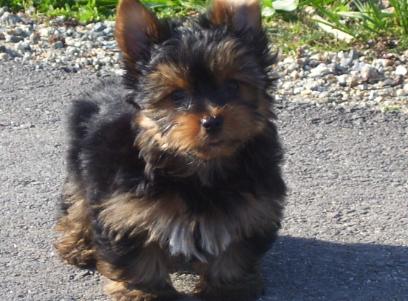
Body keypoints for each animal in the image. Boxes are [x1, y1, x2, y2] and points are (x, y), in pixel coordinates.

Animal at [55, 0, 286, 298]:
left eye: (233, 85)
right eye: (177, 96)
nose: (212, 121)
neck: (198, 168)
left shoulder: (250, 207)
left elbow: (233, 252)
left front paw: (229, 288)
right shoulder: (126, 209)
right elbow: (139, 256)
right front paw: (145, 292)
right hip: (82, 167)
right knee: (77, 204)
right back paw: (77, 245)